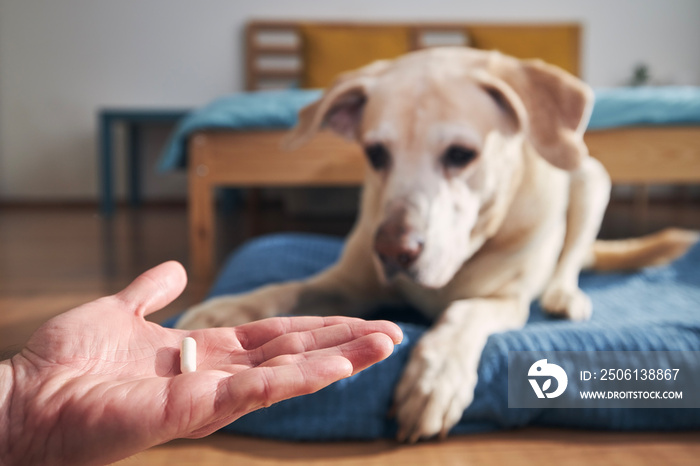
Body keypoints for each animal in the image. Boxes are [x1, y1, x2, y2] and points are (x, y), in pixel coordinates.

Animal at [176, 48, 700, 444]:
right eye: (375, 153)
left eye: (461, 155)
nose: (393, 251)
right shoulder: (346, 283)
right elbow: (287, 289)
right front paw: (224, 309)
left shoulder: (504, 300)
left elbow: (462, 313)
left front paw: (433, 378)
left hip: (591, 177)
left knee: (572, 256)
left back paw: (565, 295)